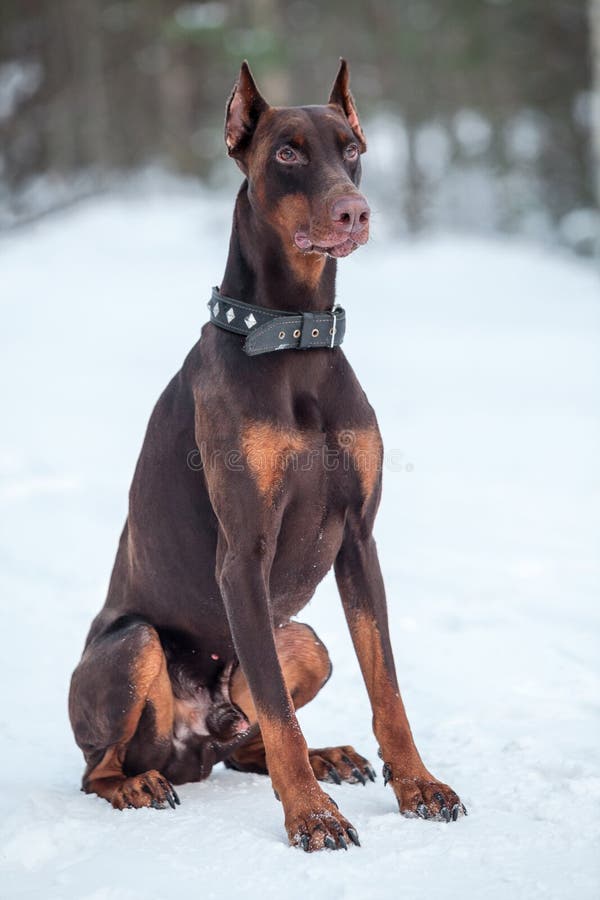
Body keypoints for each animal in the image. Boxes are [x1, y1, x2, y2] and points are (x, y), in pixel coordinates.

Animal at [70, 58, 464, 852]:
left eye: (352, 149)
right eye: (286, 152)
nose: (354, 212)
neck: (294, 338)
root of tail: (193, 745)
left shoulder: (359, 541)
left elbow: (387, 686)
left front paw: (418, 785)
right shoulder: (242, 554)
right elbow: (283, 715)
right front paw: (312, 817)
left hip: (302, 637)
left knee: (248, 738)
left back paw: (327, 756)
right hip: (133, 647)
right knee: (100, 766)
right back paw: (136, 784)